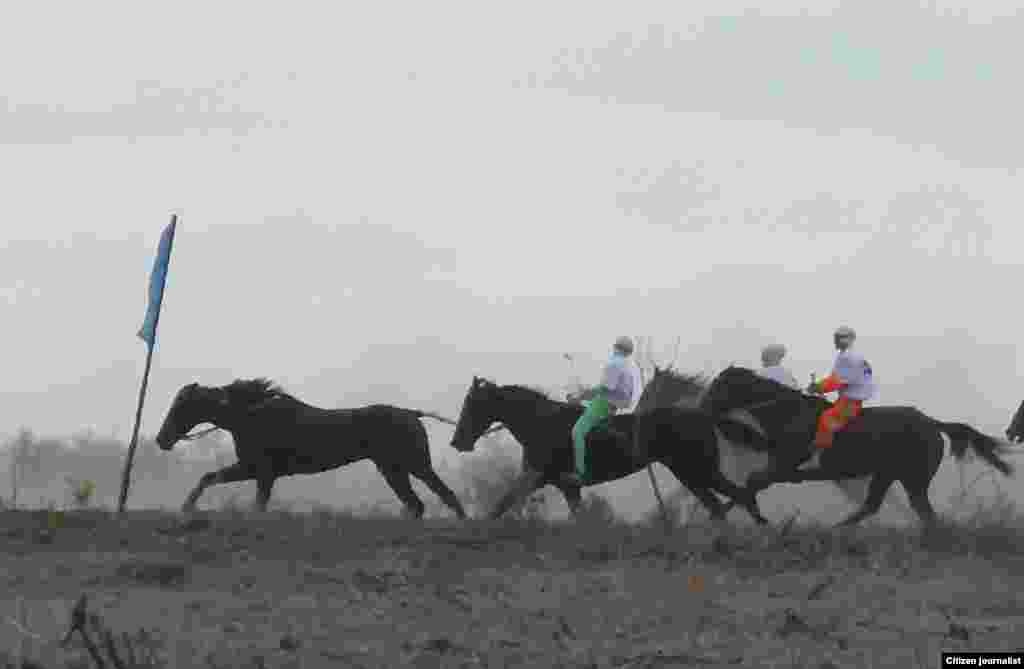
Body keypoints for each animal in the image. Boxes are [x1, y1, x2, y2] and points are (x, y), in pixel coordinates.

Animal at [448, 374, 770, 522]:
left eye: (472, 404)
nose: (456, 441)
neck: (542, 423)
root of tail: (702, 415)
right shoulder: (565, 486)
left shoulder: (538, 477)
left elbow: (502, 504)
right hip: (690, 474)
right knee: (720, 504)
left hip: (696, 470)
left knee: (738, 496)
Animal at [696, 364, 1015, 528]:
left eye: (717, 387)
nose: (700, 410)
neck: (786, 413)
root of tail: (932, 423)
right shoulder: (779, 469)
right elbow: (748, 485)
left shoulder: (783, 468)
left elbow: (750, 484)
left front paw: (722, 514)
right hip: (888, 474)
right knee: (876, 506)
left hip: (913, 478)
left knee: (921, 511)